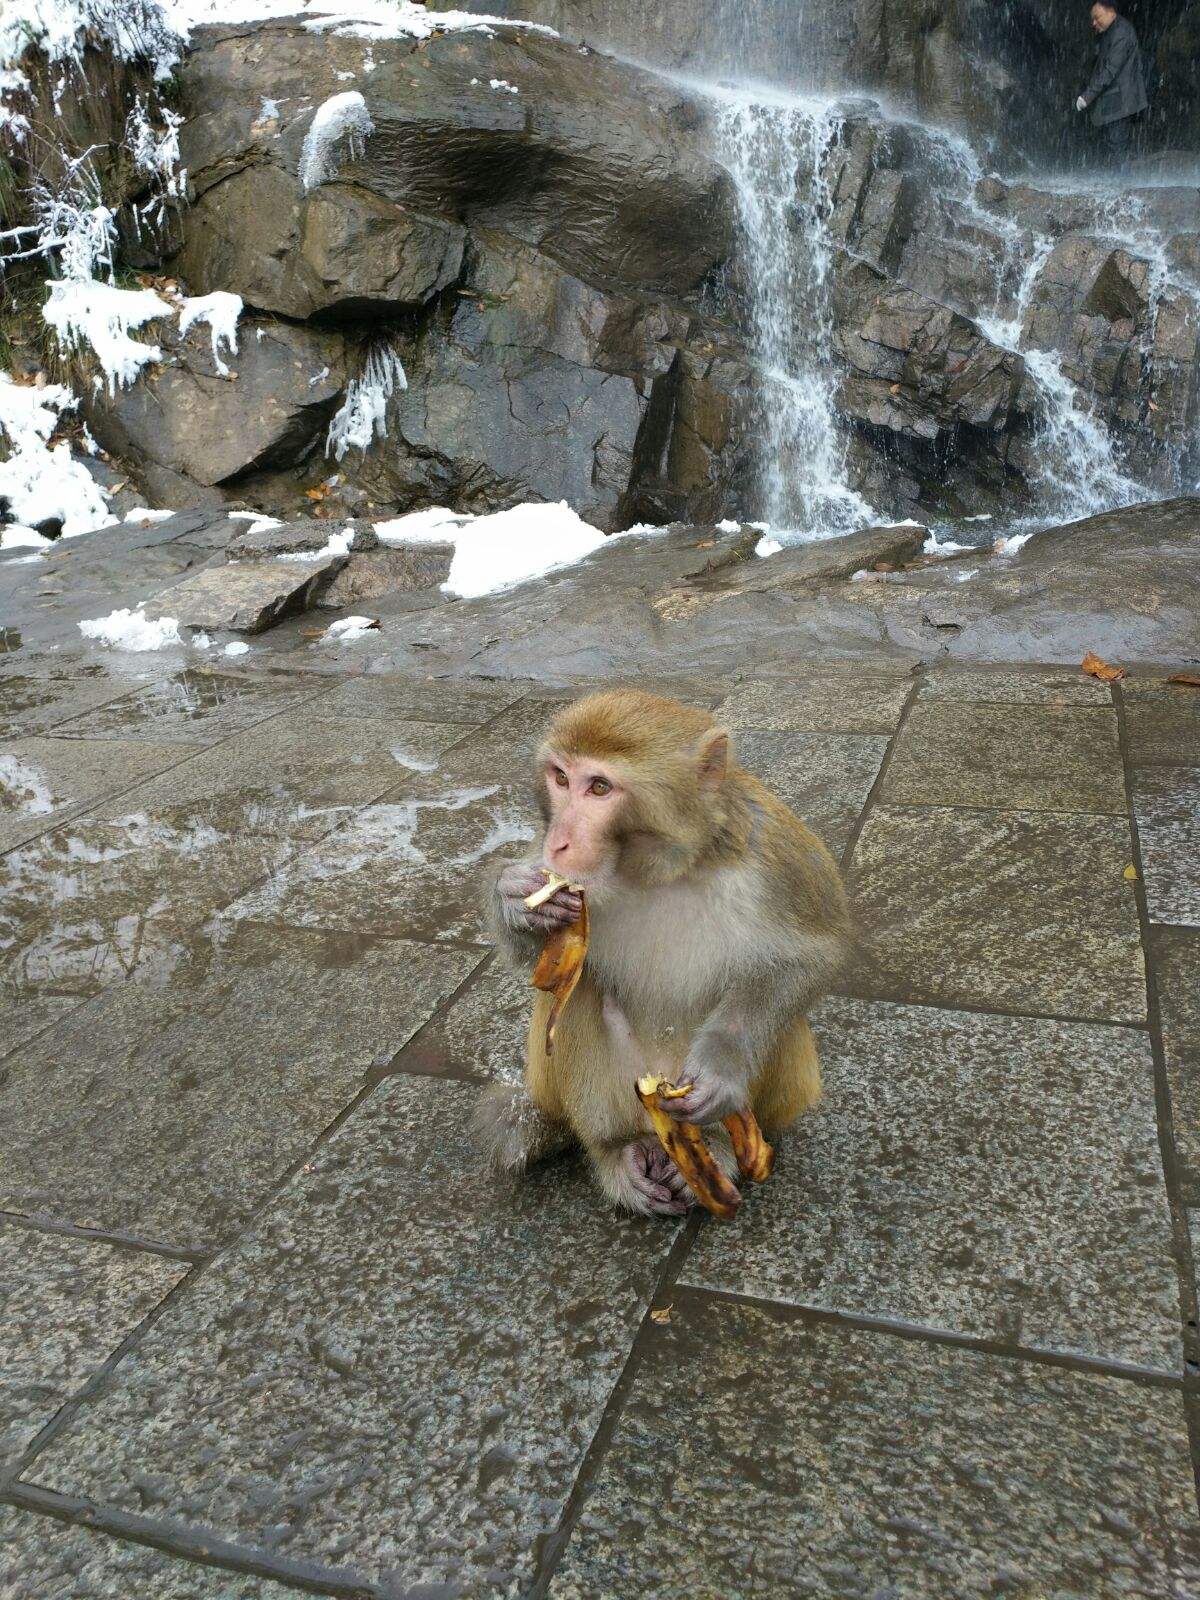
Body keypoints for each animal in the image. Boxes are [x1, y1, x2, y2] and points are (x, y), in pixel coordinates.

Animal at [473, 681, 857, 1216]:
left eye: (599, 788)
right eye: (560, 777)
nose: (559, 842)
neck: (659, 868)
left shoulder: (775, 851)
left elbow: (812, 957)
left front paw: (721, 1068)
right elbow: (541, 970)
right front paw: (512, 897)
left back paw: (714, 1146)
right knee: (576, 996)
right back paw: (617, 1152)